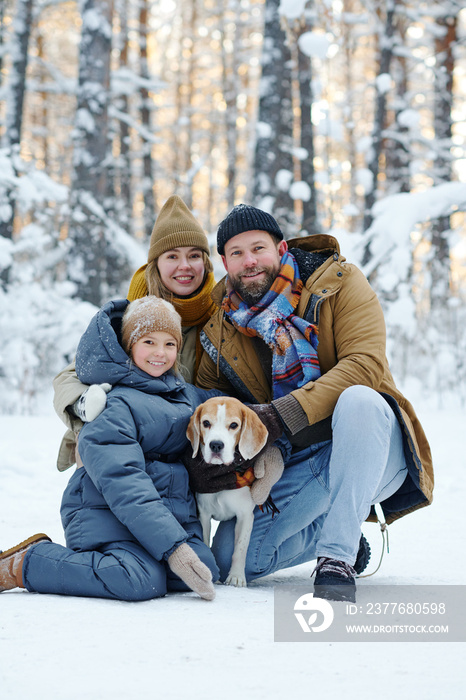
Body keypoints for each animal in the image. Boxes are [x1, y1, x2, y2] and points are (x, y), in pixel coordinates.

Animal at [186, 396, 268, 588]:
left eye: (233, 425)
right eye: (206, 423)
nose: (216, 445)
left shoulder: (245, 516)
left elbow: (239, 549)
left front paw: (236, 577)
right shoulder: (204, 514)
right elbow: (205, 540)